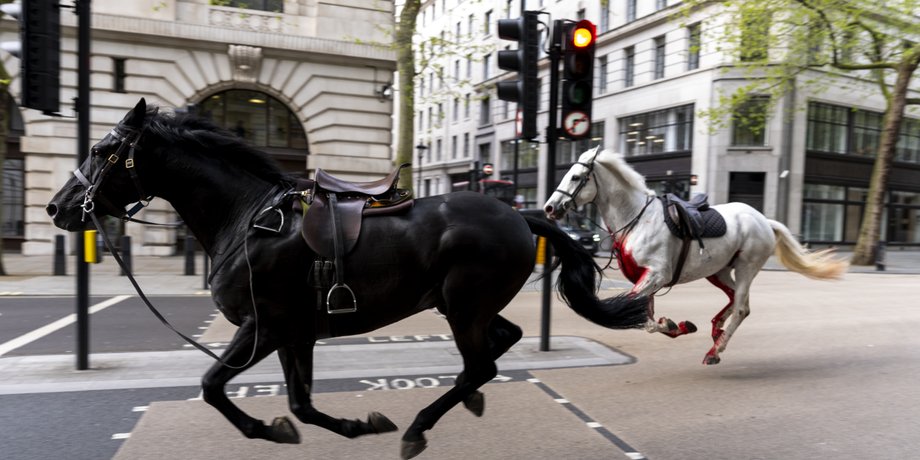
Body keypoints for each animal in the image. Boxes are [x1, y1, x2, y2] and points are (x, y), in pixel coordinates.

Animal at [46, 99, 649, 459]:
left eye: (101, 150)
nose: (57, 208)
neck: (247, 219)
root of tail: (519, 215)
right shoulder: (294, 334)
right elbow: (300, 404)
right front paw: (350, 426)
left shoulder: (263, 327)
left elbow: (214, 385)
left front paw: (269, 429)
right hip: (461, 305)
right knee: (501, 344)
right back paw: (465, 400)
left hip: (462, 305)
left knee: (482, 362)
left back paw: (420, 426)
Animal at [543, 147, 848, 365]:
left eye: (575, 177)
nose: (549, 207)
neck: (637, 219)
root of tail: (763, 219)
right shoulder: (646, 278)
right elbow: (645, 316)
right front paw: (676, 325)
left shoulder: (656, 274)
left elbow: (641, 316)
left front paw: (671, 324)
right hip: (719, 271)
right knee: (736, 300)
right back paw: (716, 332)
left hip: (747, 267)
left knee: (741, 307)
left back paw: (715, 349)